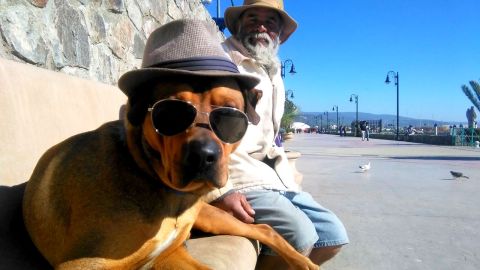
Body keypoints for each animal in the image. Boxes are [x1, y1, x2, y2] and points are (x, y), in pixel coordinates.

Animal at [24, 19, 320, 270]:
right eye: (170, 113)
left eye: (229, 113)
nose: (203, 156)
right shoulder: (90, 262)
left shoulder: (169, 253)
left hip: (212, 216)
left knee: (263, 229)